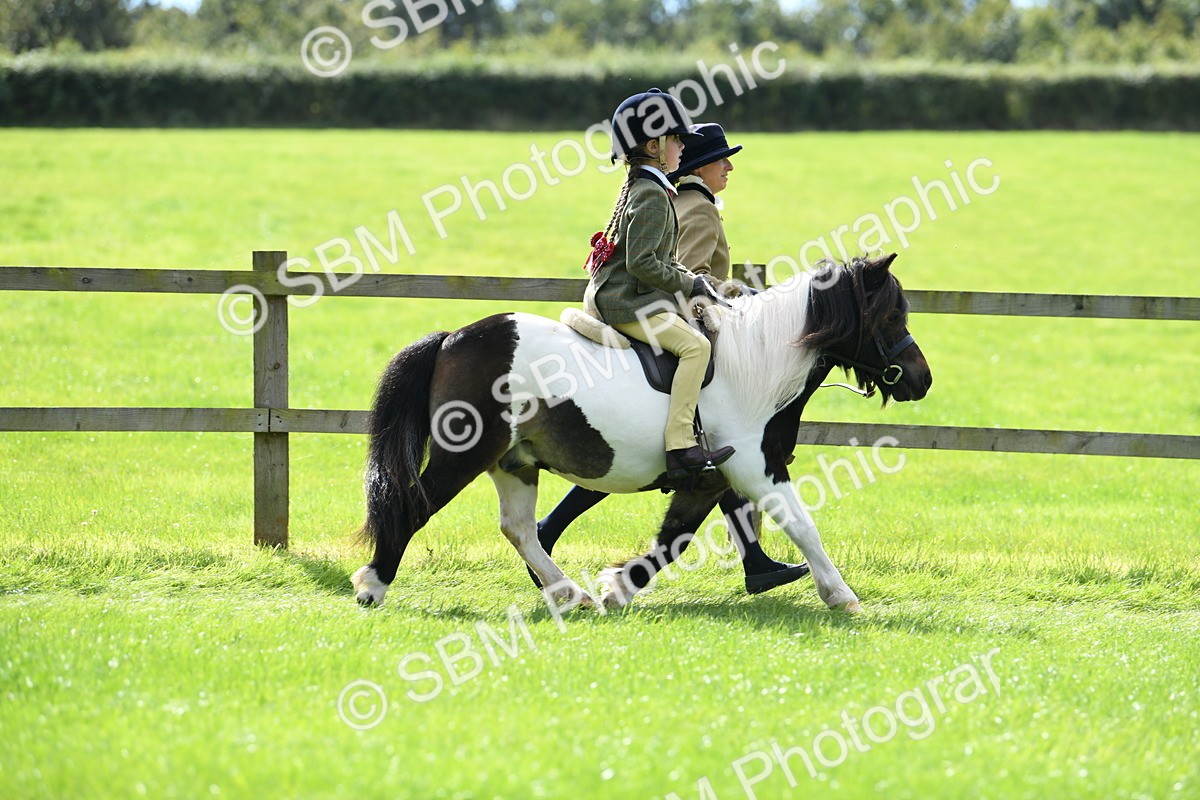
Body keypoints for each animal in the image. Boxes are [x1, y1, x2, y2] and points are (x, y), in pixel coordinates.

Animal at [351, 252, 931, 613]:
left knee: (519, 529)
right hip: (465, 455)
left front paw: (616, 589)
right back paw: (373, 585)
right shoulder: (755, 467)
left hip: (514, 462)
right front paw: (841, 595)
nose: (921, 379)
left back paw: (569, 594)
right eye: (890, 316)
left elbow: (673, 540)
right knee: (412, 504)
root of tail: (454, 338)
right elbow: (803, 525)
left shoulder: (710, 478)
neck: (757, 363)